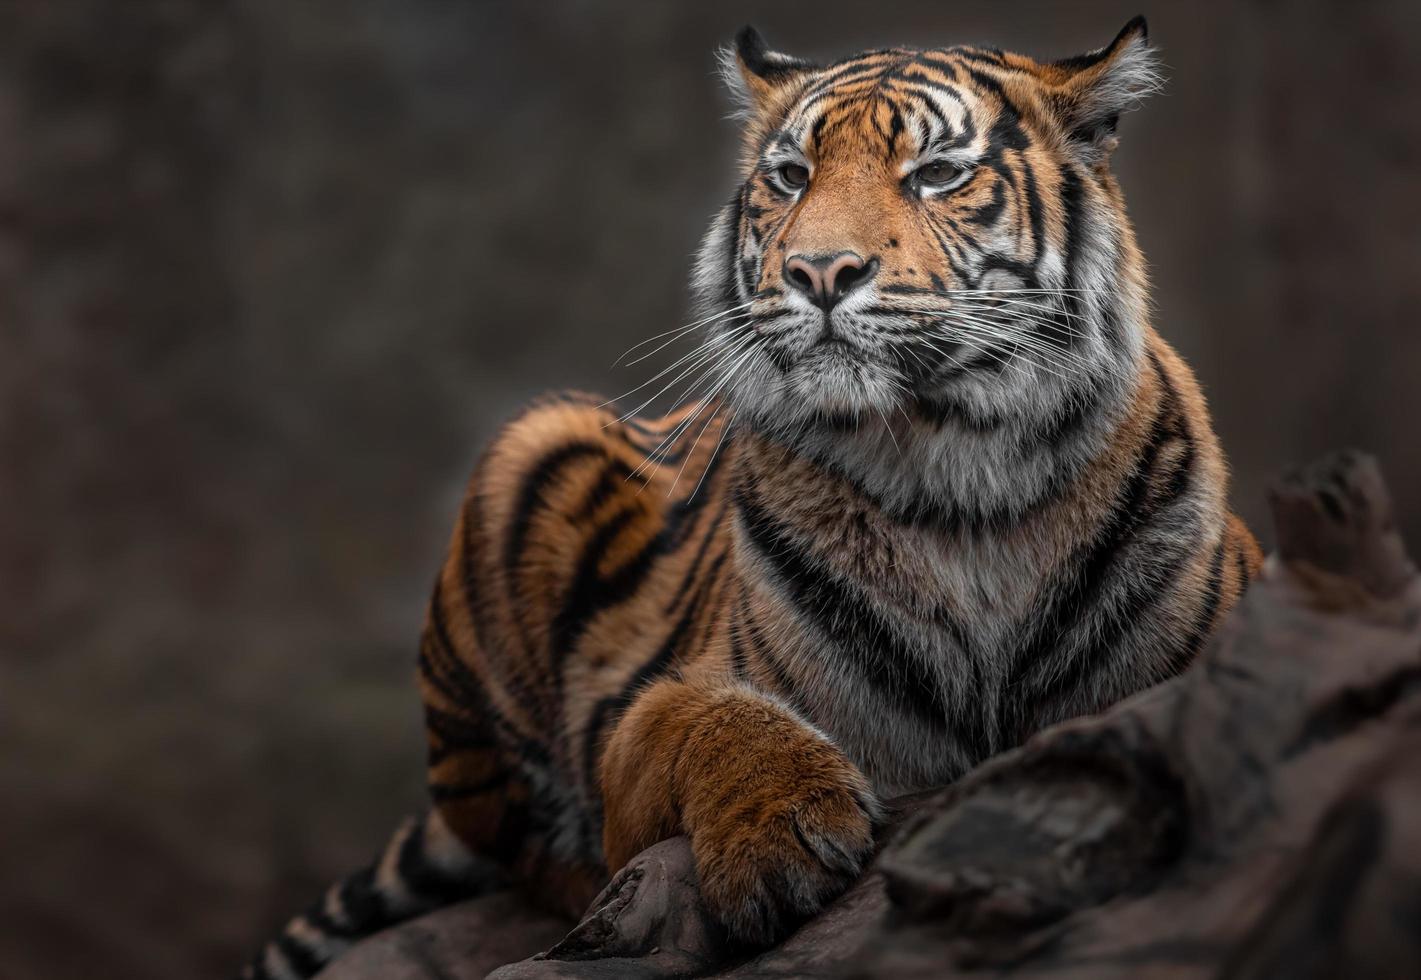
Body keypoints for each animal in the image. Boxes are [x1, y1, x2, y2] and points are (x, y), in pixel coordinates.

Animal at [247, 17, 1267, 977]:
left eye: (937, 174)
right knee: (526, 848)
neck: (958, 486)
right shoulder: (656, 708)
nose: (818, 272)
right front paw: (778, 838)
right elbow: (715, 721)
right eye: (790, 175)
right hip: (525, 451)